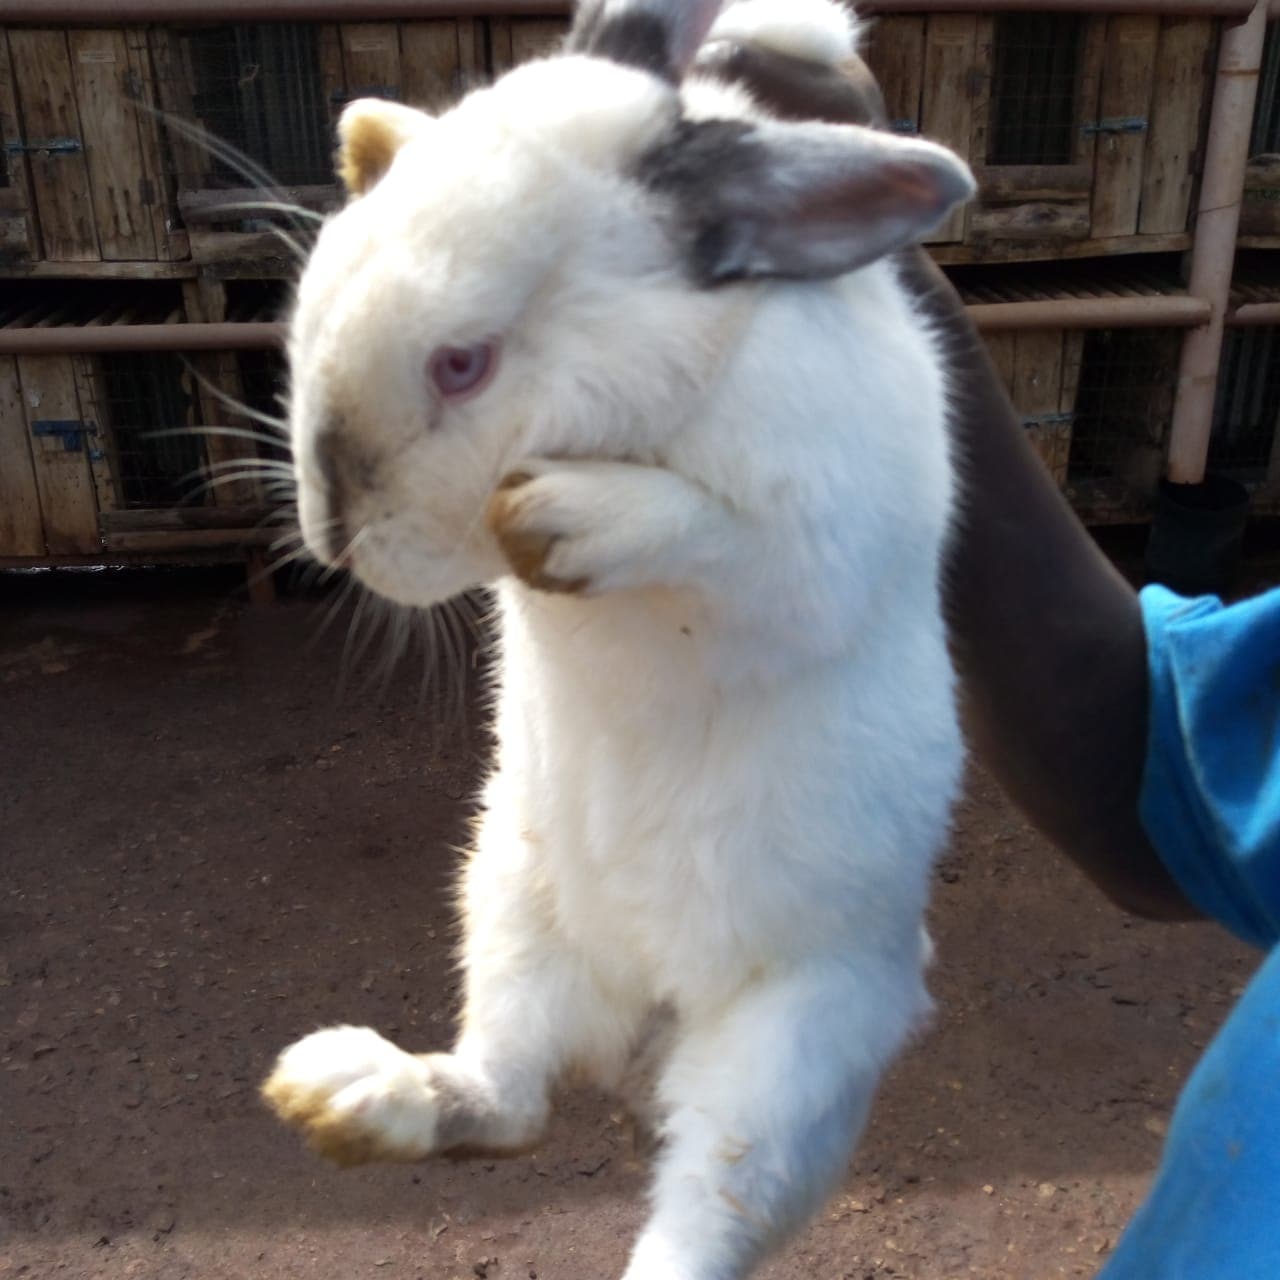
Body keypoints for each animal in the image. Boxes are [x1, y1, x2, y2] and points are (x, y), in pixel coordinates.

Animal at [261, 0, 973, 1276]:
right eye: (325, 284)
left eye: (462, 362)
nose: (331, 533)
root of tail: (653, 992)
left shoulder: (813, 536)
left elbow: (715, 538)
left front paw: (556, 517)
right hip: (507, 899)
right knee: (509, 1097)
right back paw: (348, 1094)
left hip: (787, 1051)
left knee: (704, 1203)